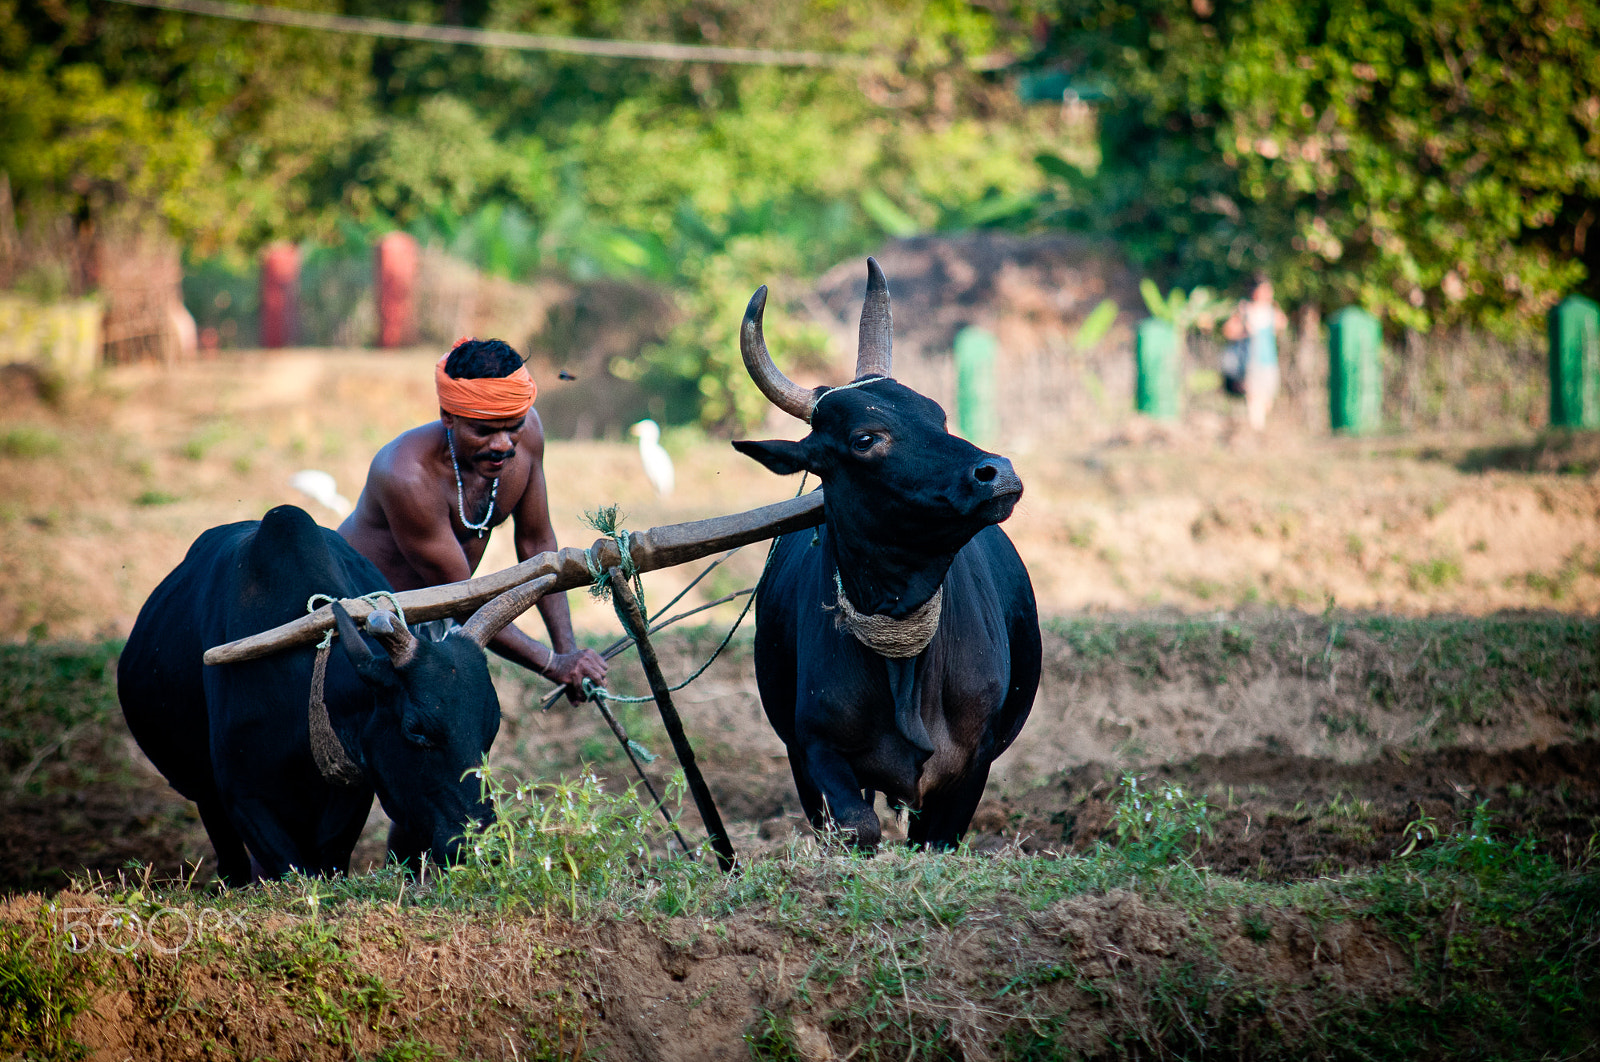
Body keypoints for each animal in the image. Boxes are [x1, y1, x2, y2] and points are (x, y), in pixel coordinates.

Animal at [732, 259, 1043, 844]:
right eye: (865, 439)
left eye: (938, 415)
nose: (998, 473)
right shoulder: (812, 749)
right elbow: (858, 826)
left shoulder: (972, 765)